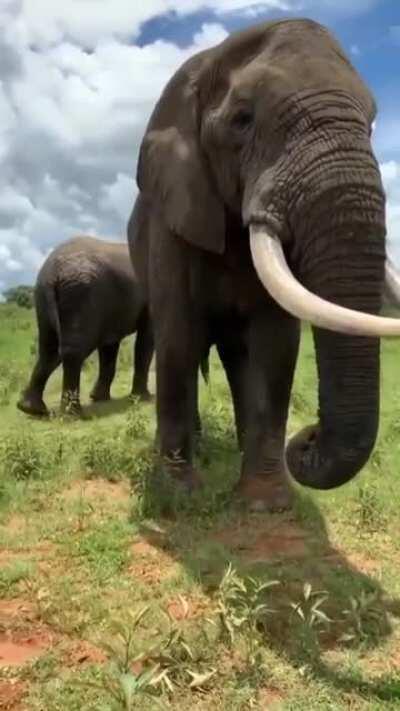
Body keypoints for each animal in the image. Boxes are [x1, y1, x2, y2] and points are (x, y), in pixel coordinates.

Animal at [18, 236, 154, 417]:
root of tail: (52, 272)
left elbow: (109, 347)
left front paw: (99, 398)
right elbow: (144, 341)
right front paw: (143, 399)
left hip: (44, 299)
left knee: (49, 351)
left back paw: (31, 409)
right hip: (80, 295)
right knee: (73, 351)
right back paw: (72, 415)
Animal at [128, 18, 400, 512]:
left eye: (371, 124)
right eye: (242, 120)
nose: (306, 439)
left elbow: (275, 345)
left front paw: (266, 501)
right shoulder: (172, 218)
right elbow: (178, 334)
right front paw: (179, 496)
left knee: (238, 356)